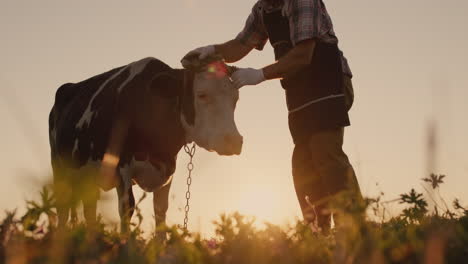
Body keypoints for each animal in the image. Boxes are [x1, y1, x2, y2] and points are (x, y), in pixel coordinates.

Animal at [49, 56, 243, 232]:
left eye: (236, 99)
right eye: (202, 95)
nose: (234, 141)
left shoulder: (167, 171)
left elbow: (160, 212)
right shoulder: (122, 166)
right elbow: (127, 208)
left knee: (89, 210)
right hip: (59, 168)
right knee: (63, 210)